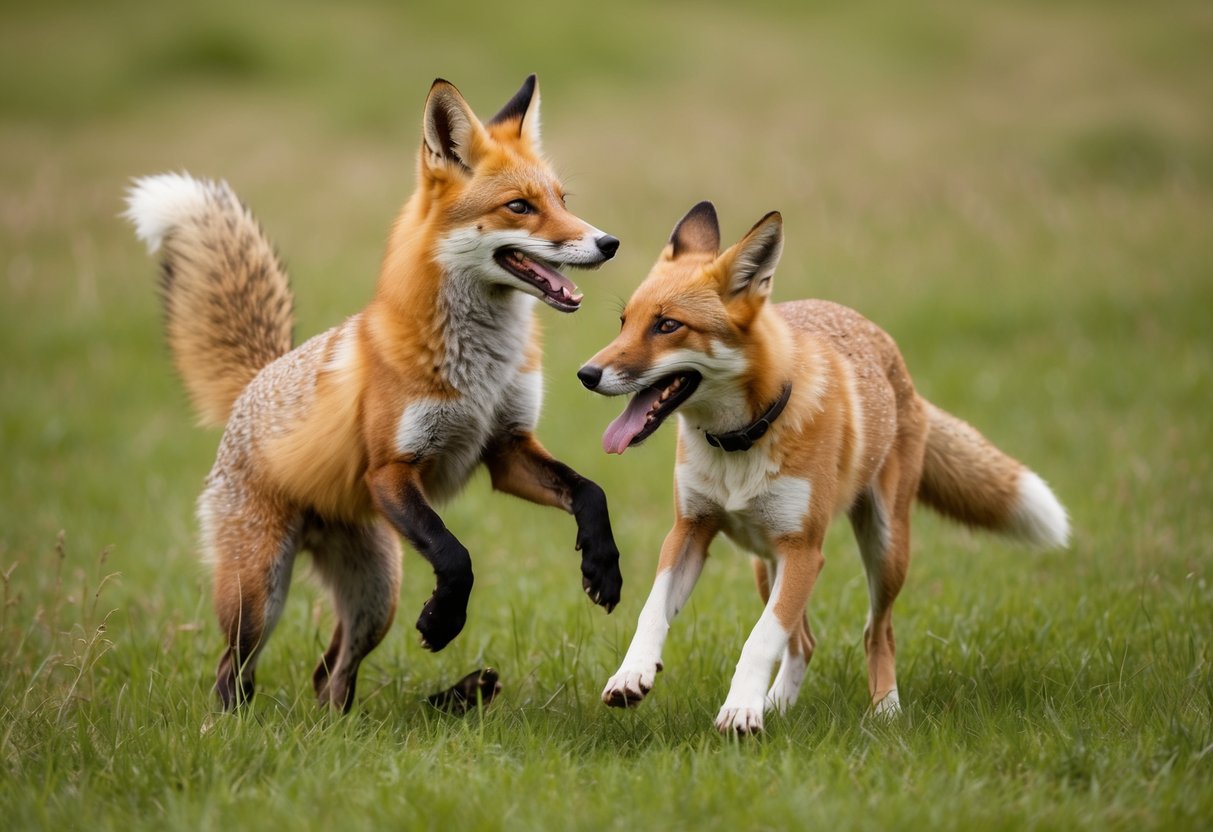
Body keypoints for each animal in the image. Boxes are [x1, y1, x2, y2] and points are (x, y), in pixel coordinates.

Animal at [124, 75, 624, 712]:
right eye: (519, 207)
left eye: (563, 199)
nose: (608, 243)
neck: (481, 371)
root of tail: (258, 379)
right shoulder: (391, 468)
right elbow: (455, 554)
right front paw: (443, 621)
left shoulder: (506, 448)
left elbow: (590, 492)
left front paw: (602, 567)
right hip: (259, 593)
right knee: (232, 672)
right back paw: (234, 724)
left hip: (376, 592)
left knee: (330, 678)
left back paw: (361, 721)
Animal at [577, 201, 1070, 734]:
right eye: (624, 322)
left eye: (667, 326)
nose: (586, 374)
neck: (740, 444)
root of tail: (892, 356)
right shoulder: (691, 529)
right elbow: (653, 613)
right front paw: (634, 674)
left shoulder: (804, 550)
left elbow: (759, 640)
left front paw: (740, 710)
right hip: (765, 564)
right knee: (805, 643)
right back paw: (778, 705)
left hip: (882, 550)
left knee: (878, 632)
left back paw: (883, 710)